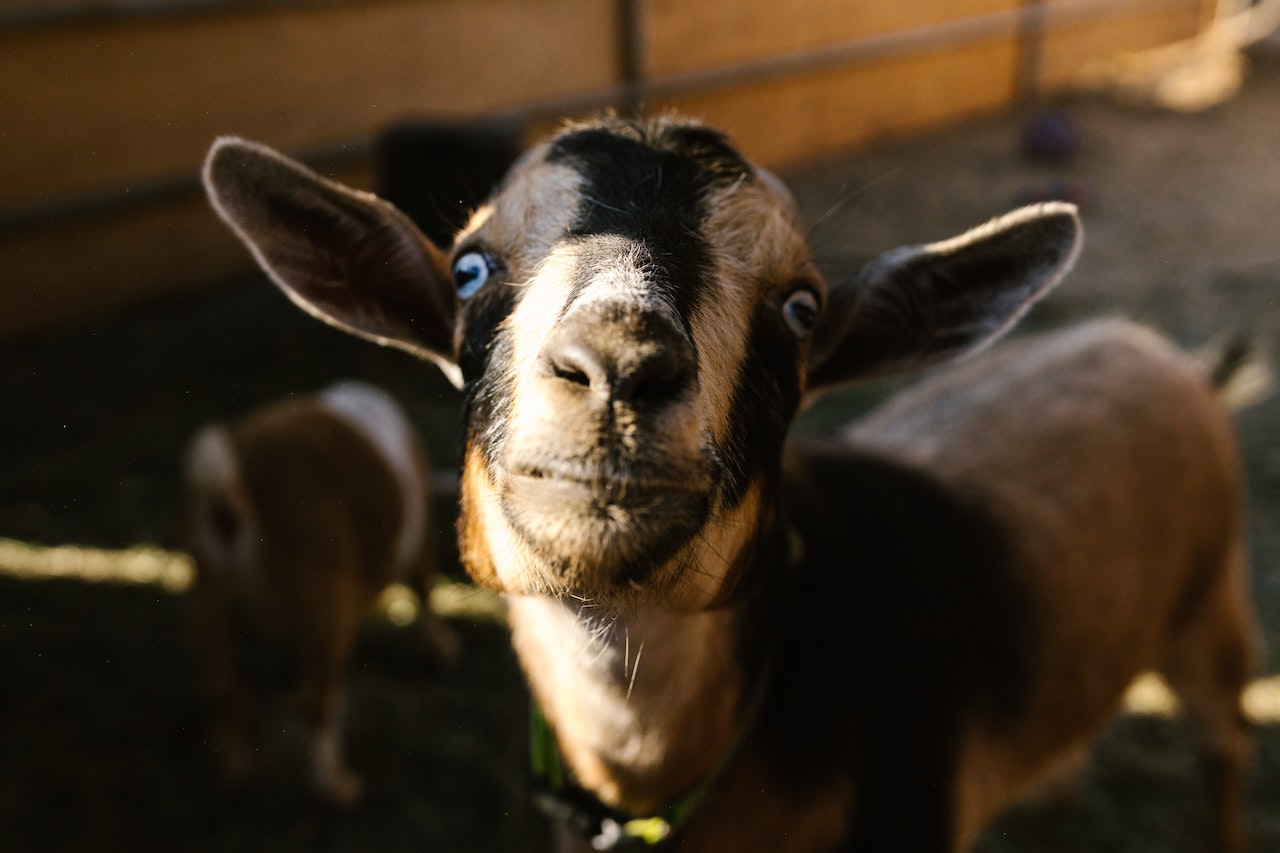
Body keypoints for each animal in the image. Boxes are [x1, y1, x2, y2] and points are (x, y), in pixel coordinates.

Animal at [184, 381, 458, 804]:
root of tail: (230, 489)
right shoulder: (421, 542)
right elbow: (426, 593)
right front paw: (444, 651)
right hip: (328, 605)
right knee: (315, 702)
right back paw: (340, 788)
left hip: (207, 602)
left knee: (226, 693)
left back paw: (236, 778)